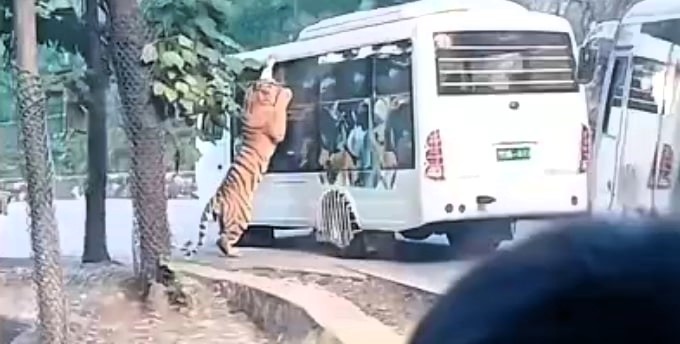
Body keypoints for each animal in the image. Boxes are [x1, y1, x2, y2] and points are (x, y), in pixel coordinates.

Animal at [179, 78, 294, 258]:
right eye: (271, 84)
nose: (280, 83)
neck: (252, 101)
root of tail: (216, 197)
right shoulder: (277, 129)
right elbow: (280, 109)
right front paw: (286, 93)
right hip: (241, 218)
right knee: (223, 238)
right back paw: (234, 252)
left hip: (226, 219)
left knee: (220, 237)